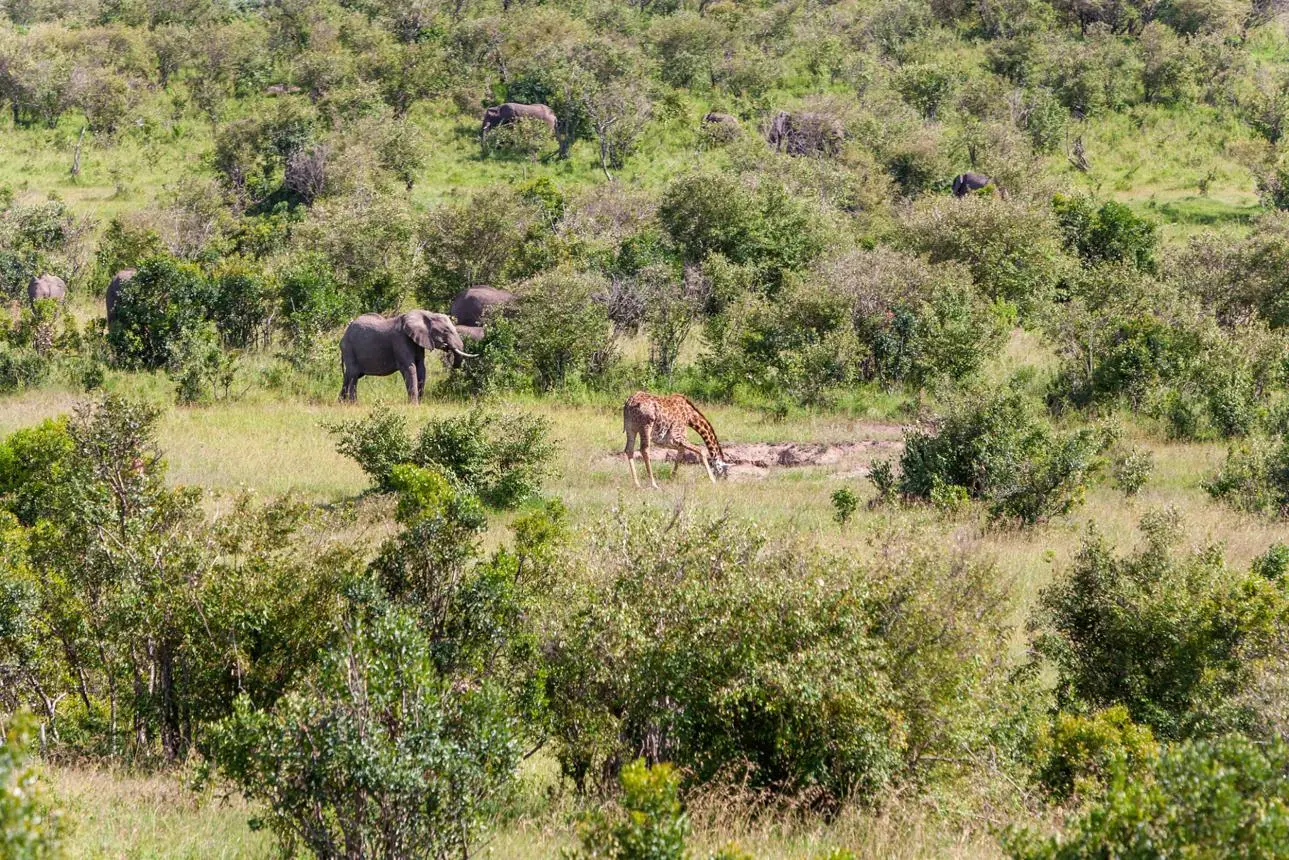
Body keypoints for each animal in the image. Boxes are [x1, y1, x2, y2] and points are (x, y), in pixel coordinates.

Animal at [339, 310, 477, 404]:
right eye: (446, 331)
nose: (453, 364)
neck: (425, 314)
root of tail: (344, 335)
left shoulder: (418, 341)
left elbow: (421, 368)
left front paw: (419, 403)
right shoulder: (400, 341)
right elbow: (410, 367)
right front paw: (414, 405)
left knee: (349, 375)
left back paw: (341, 402)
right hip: (349, 349)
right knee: (353, 375)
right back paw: (353, 404)